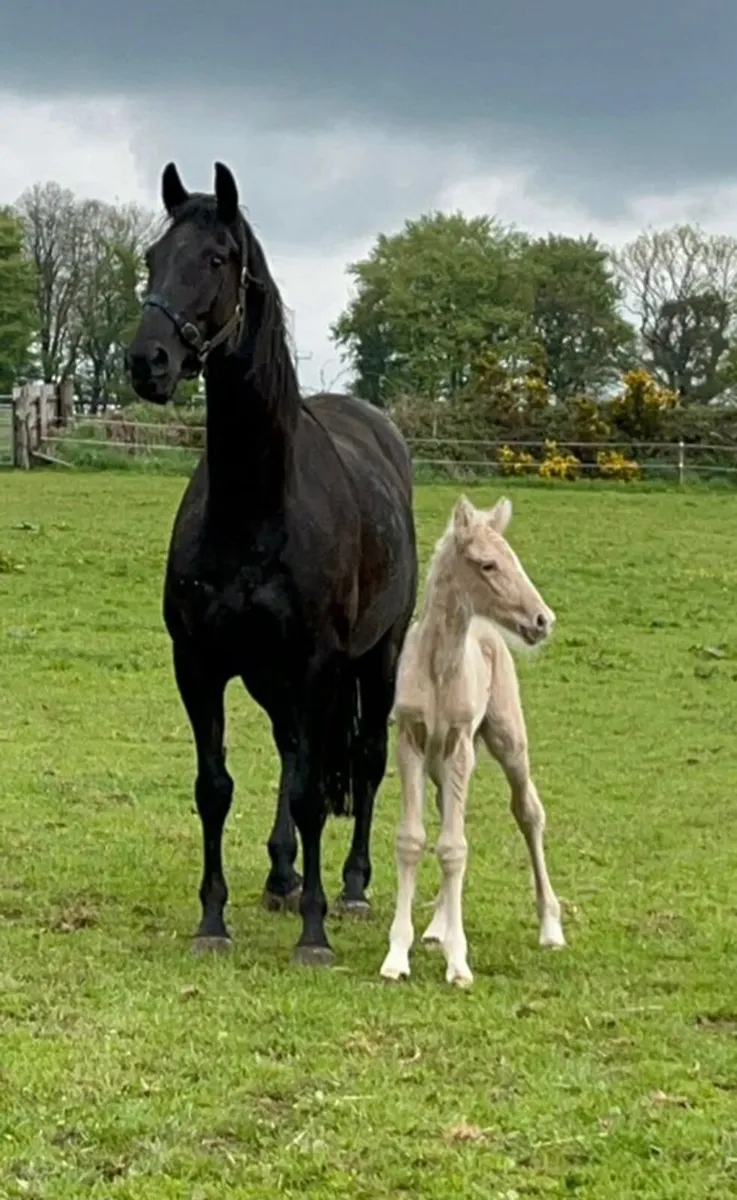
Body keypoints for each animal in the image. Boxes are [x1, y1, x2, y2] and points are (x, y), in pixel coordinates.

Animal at [127, 161, 418, 966]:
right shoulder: (199, 663)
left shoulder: (317, 663)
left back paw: (349, 887)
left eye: (217, 258)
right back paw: (282, 874)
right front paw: (212, 921)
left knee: (363, 759)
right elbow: (215, 786)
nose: (146, 361)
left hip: (375, 659)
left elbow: (318, 790)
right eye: (151, 258)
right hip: (269, 675)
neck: (253, 508)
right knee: (292, 754)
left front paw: (315, 934)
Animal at [380, 494, 564, 987]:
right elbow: (415, 840)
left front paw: (459, 963)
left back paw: (550, 927)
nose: (542, 620)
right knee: (447, 814)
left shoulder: (461, 742)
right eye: (487, 564)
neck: (438, 669)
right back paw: (437, 927)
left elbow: (454, 847)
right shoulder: (410, 739)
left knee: (528, 812)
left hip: (507, 740)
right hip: (439, 763)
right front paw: (397, 955)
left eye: (512, 558)